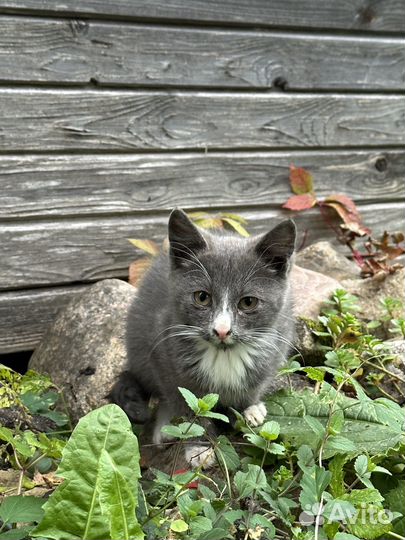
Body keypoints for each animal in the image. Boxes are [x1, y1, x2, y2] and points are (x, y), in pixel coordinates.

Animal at [112, 209, 296, 466]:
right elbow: (187, 404)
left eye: (248, 302)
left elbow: (256, 382)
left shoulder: (278, 337)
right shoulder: (162, 348)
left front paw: (250, 408)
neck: (224, 354)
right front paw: (198, 446)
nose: (222, 330)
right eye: (202, 297)